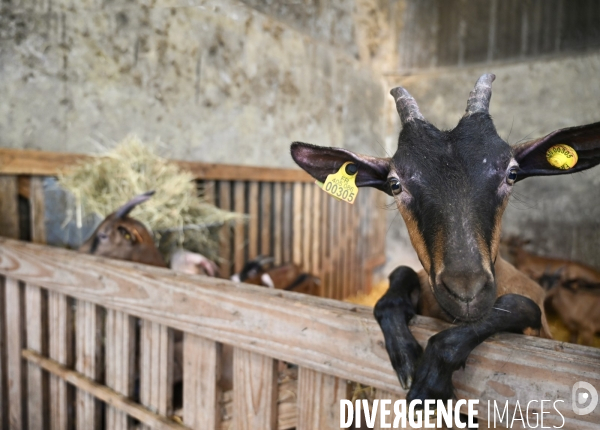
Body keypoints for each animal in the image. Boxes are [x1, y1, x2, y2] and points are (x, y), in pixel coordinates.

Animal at [290, 72, 600, 404]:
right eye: (395, 183)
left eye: (512, 173)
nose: (467, 293)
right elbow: (398, 277)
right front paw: (406, 356)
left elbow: (521, 305)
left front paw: (430, 380)